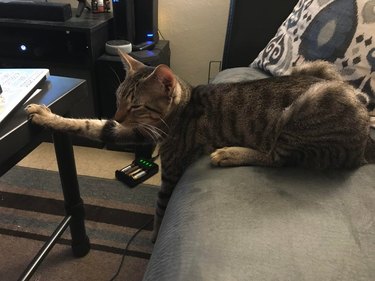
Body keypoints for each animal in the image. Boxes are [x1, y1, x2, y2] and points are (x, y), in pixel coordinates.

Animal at [25, 50, 375, 241]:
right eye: (117, 98)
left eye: (135, 105)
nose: (118, 115)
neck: (180, 109)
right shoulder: (136, 132)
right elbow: (91, 126)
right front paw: (46, 115)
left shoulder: (170, 168)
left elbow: (160, 209)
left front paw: (154, 237)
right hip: (317, 68)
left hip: (312, 105)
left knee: (277, 157)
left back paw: (231, 153)